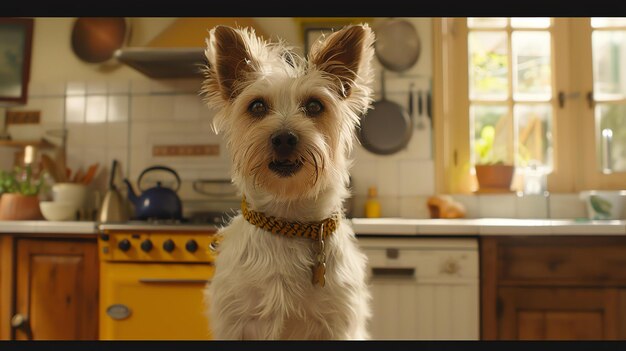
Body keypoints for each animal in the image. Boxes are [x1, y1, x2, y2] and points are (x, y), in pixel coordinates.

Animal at [202, 22, 372, 340]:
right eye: (257, 106)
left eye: (315, 106)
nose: (283, 138)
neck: (288, 218)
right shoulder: (236, 322)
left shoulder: (336, 323)